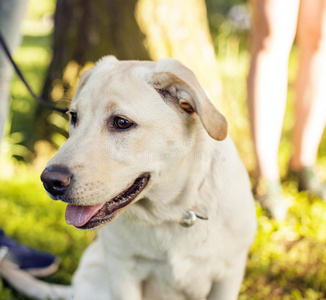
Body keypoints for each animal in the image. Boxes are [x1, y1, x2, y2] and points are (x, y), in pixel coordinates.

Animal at [0, 56, 255, 300]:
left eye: (122, 122)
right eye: (74, 117)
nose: (49, 181)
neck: (172, 214)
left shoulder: (228, 277)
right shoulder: (122, 272)